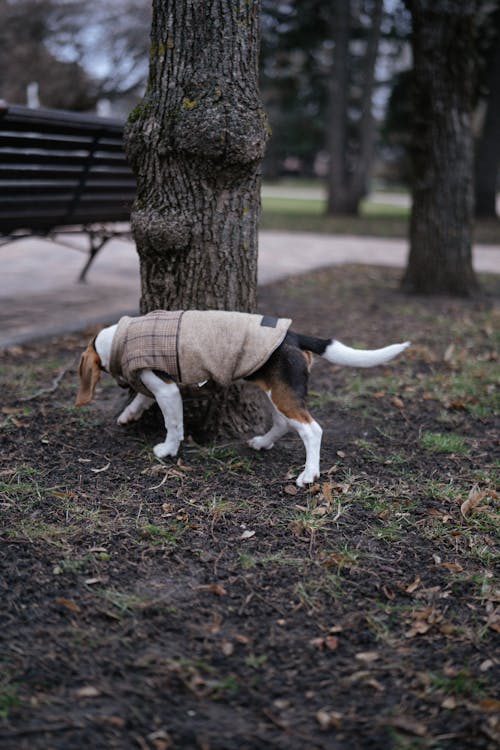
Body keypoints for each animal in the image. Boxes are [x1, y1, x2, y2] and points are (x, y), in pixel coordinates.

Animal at [75, 312, 410, 488]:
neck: (120, 338)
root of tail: (293, 336)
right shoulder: (156, 384)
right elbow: (143, 400)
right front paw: (128, 414)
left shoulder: (167, 389)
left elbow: (173, 424)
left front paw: (167, 450)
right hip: (277, 393)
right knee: (283, 424)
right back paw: (262, 442)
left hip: (284, 395)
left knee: (312, 430)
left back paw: (309, 473)